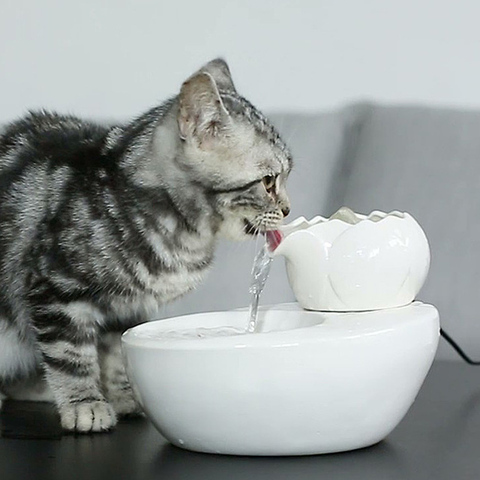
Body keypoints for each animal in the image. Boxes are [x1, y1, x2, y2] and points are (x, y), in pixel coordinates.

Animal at [0, 58, 292, 434]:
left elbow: (114, 356)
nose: (288, 209)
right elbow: (70, 355)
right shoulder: (56, 288)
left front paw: (122, 396)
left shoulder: (124, 311)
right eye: (268, 181)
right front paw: (84, 402)